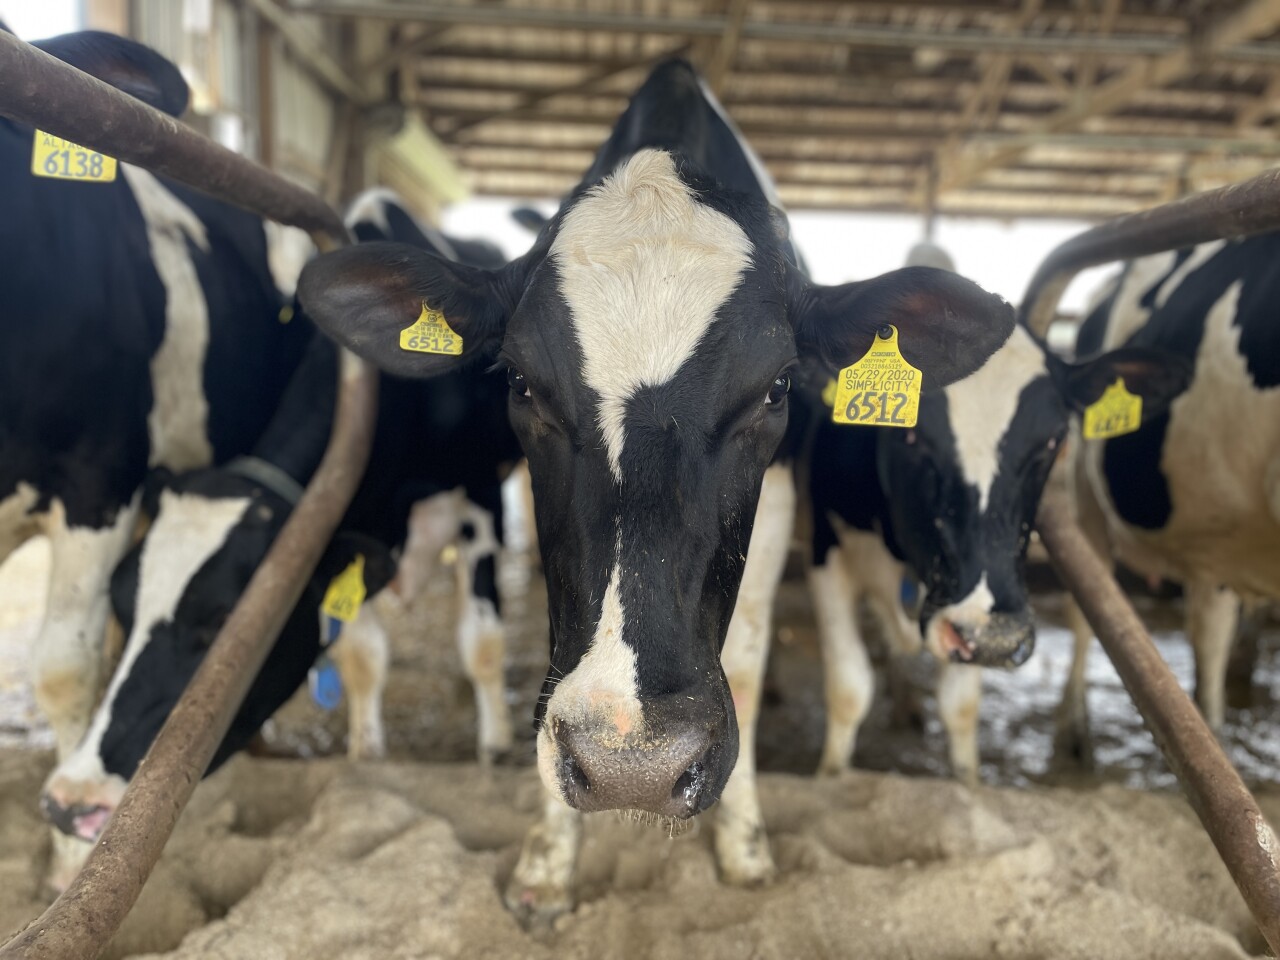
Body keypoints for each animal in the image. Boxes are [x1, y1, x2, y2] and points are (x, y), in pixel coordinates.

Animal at [38, 192, 520, 862]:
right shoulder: (346, 522)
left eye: (227, 621)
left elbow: (482, 642)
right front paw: (366, 753)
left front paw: (495, 750)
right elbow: (363, 655)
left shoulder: (481, 498)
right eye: (120, 603)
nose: (73, 802)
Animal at [298, 58, 1017, 921]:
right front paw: (549, 861)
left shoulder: (781, 503)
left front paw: (745, 847)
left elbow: (747, 664)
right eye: (520, 384)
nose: (631, 763)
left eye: (778, 388)